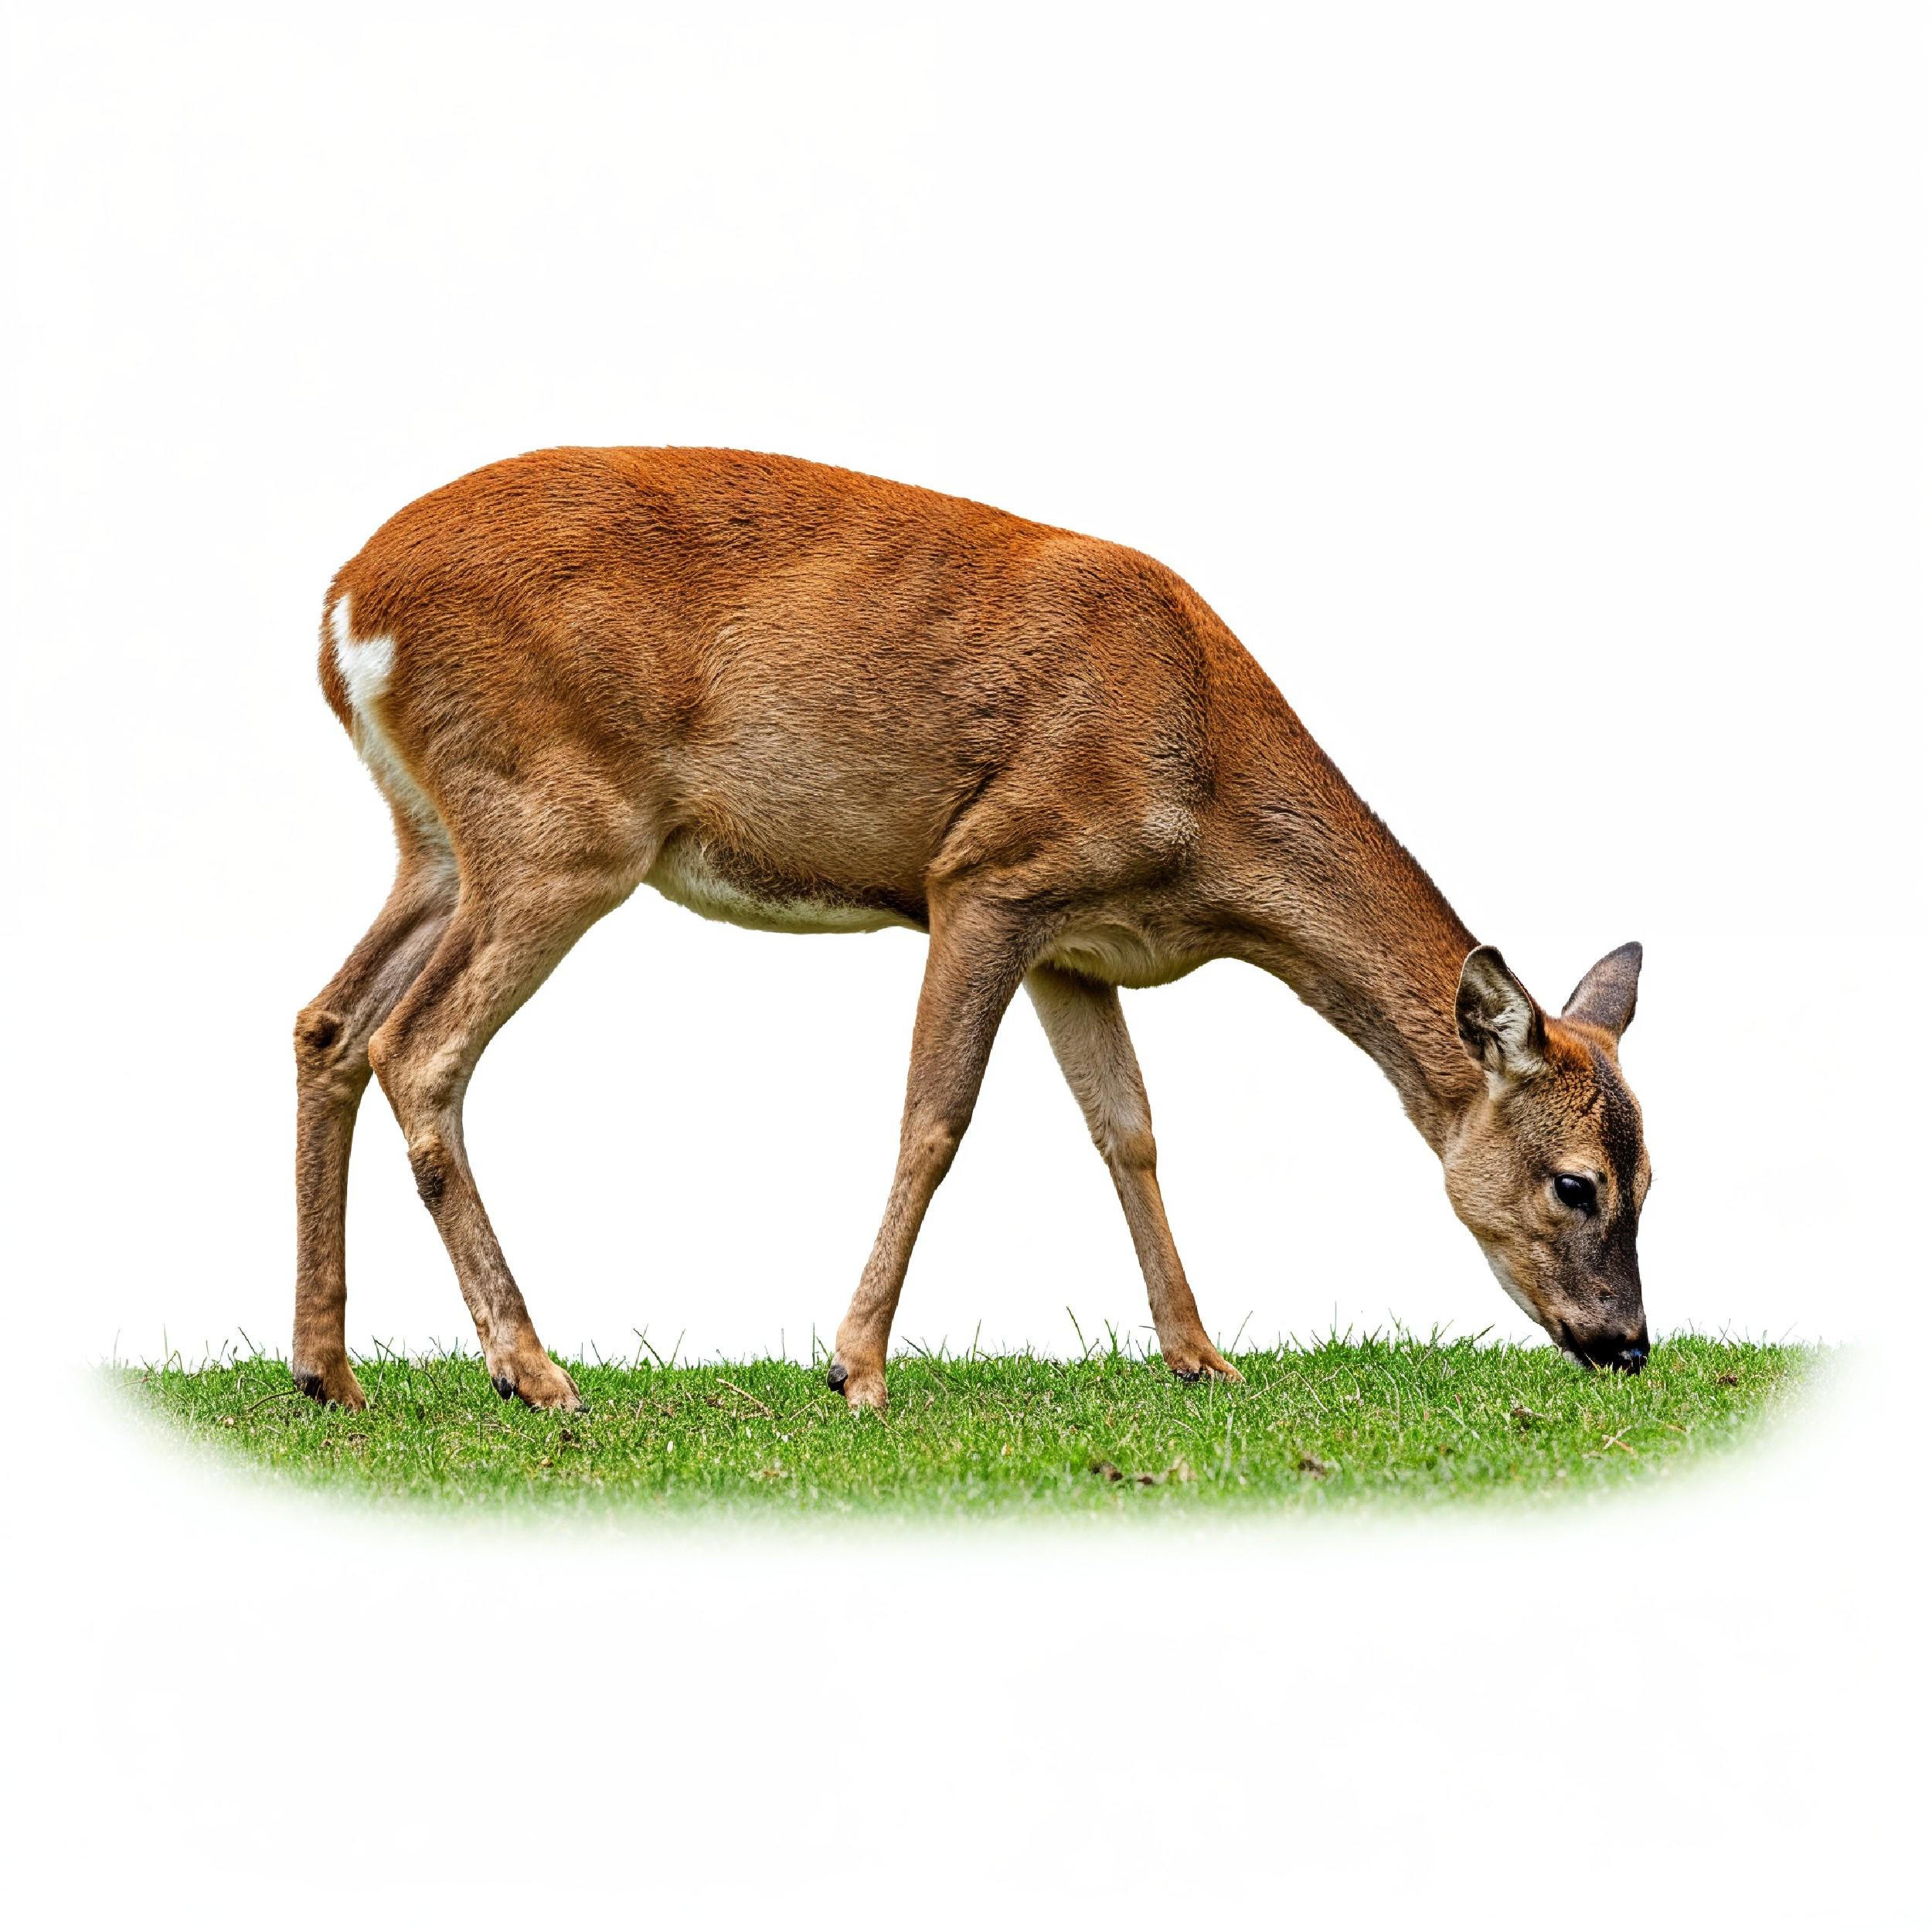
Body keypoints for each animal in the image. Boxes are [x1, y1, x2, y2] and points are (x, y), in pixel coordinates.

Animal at [293, 447, 1652, 1415]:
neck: (1204, 799)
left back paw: (329, 1371)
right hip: (559, 825)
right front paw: (855, 1366)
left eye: (1653, 1178)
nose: (1630, 1344)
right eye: (1577, 1183)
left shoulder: (1077, 945)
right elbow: (937, 1118)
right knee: (420, 1047)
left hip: (436, 840)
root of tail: (346, 606)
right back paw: (531, 1371)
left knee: (328, 1025)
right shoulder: (990, 874)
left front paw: (1201, 1356)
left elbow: (1129, 1131)